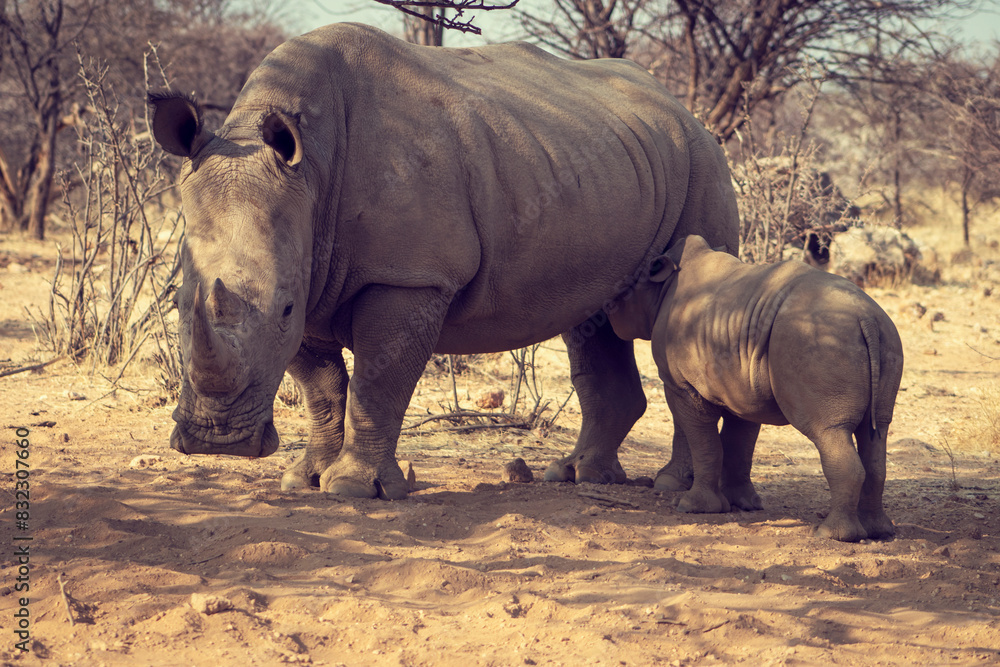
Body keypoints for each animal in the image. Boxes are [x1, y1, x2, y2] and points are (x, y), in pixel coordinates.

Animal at [148, 23, 739, 500]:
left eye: (285, 308)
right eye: (177, 301)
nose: (218, 442)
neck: (311, 166)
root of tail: (686, 112)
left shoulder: (409, 277)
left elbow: (378, 381)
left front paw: (352, 489)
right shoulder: (311, 267)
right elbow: (321, 387)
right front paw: (304, 479)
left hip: (703, 166)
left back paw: (670, 486)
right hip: (610, 159)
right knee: (590, 323)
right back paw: (575, 476)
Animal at [607, 235, 903, 541]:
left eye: (623, 293)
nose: (607, 309)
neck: (662, 286)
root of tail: (866, 319)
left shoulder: (682, 385)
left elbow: (704, 441)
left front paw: (692, 507)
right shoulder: (741, 382)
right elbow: (739, 439)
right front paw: (743, 504)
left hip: (818, 340)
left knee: (829, 431)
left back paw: (830, 535)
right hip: (887, 338)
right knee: (876, 431)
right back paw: (879, 531)